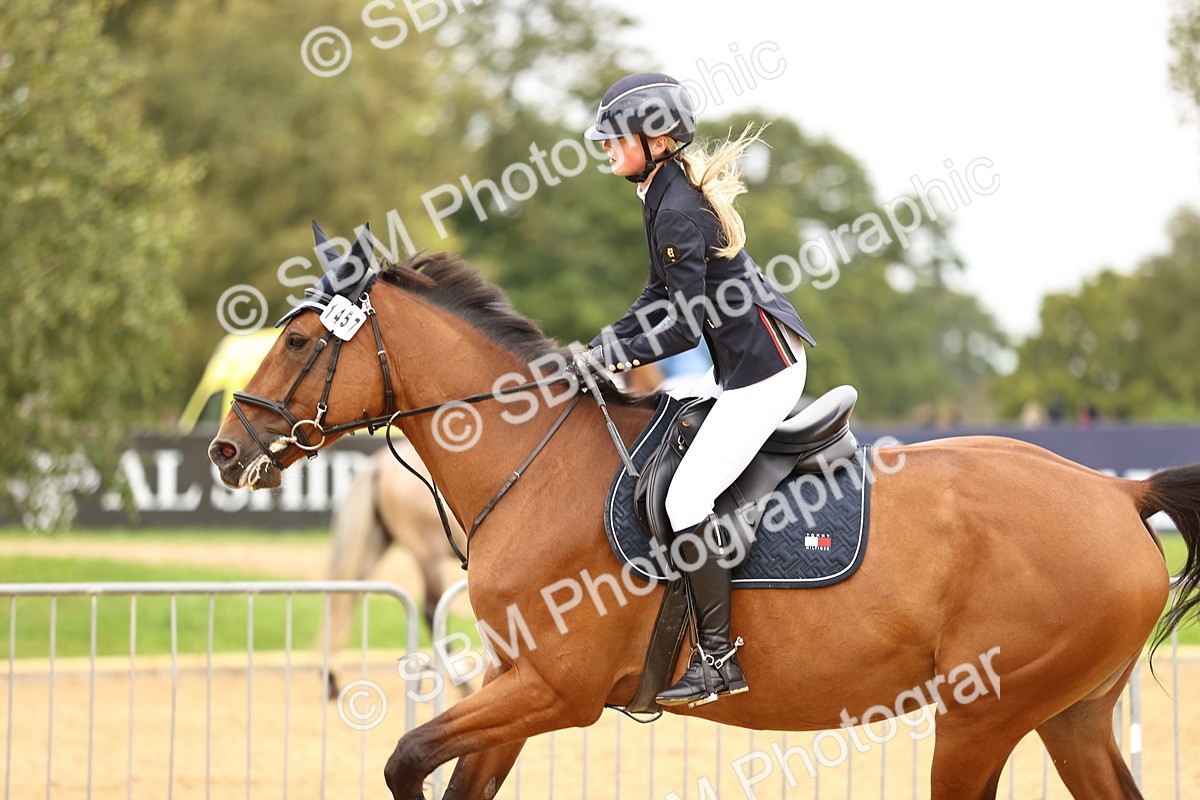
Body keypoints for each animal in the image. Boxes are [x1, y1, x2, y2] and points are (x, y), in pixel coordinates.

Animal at [322, 442, 467, 698]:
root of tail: (379, 464)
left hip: (375, 543)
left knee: (347, 594)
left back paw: (331, 677)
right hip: (428, 553)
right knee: (432, 610)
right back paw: (462, 679)